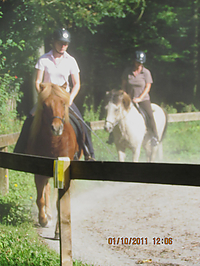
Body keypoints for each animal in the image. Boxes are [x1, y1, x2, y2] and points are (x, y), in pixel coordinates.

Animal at [27, 82, 82, 235]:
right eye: (45, 105)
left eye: (63, 103)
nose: (56, 128)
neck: (55, 142)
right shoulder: (39, 171)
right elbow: (40, 198)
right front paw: (43, 220)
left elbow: (60, 202)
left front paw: (58, 231)